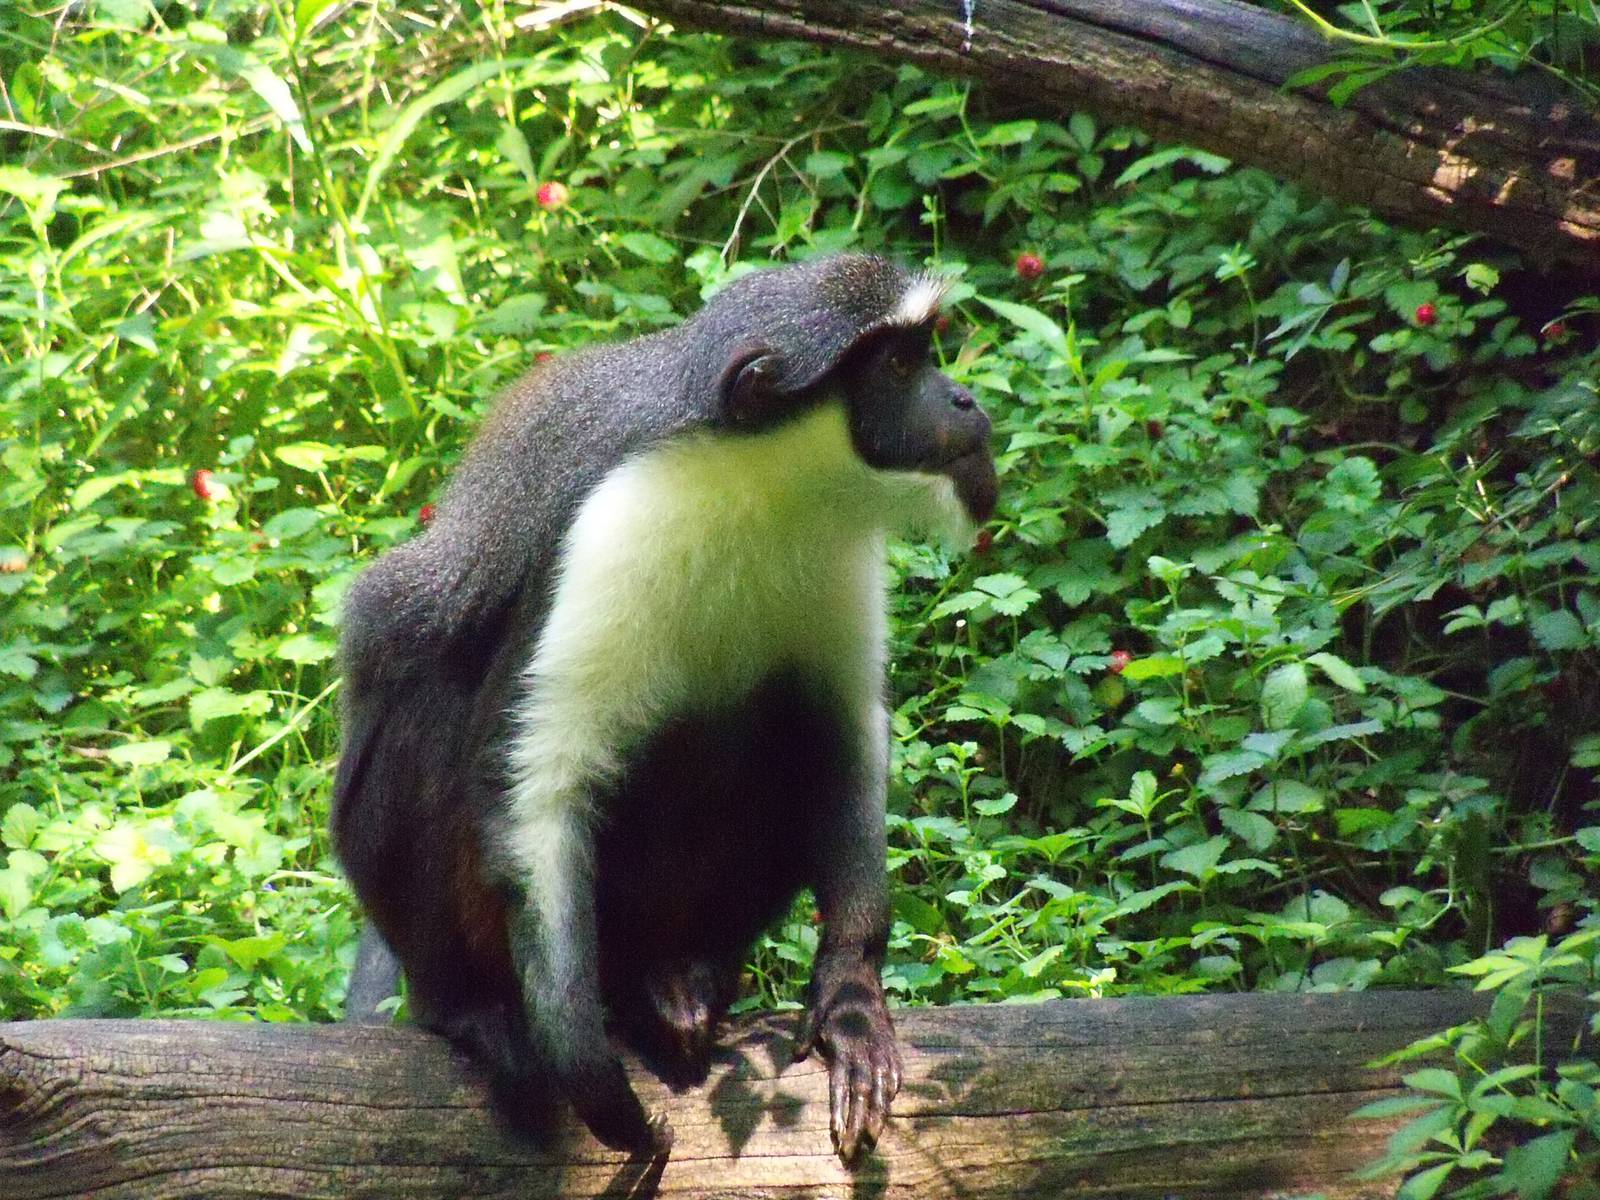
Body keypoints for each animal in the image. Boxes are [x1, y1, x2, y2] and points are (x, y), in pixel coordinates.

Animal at [331, 253, 997, 1163]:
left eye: (927, 353)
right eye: (898, 366)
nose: (965, 401)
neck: (760, 478)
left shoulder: (833, 544)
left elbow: (845, 732)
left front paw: (852, 997)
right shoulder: (608, 522)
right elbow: (540, 780)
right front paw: (582, 1064)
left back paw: (680, 978)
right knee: (423, 691)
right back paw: (474, 1009)